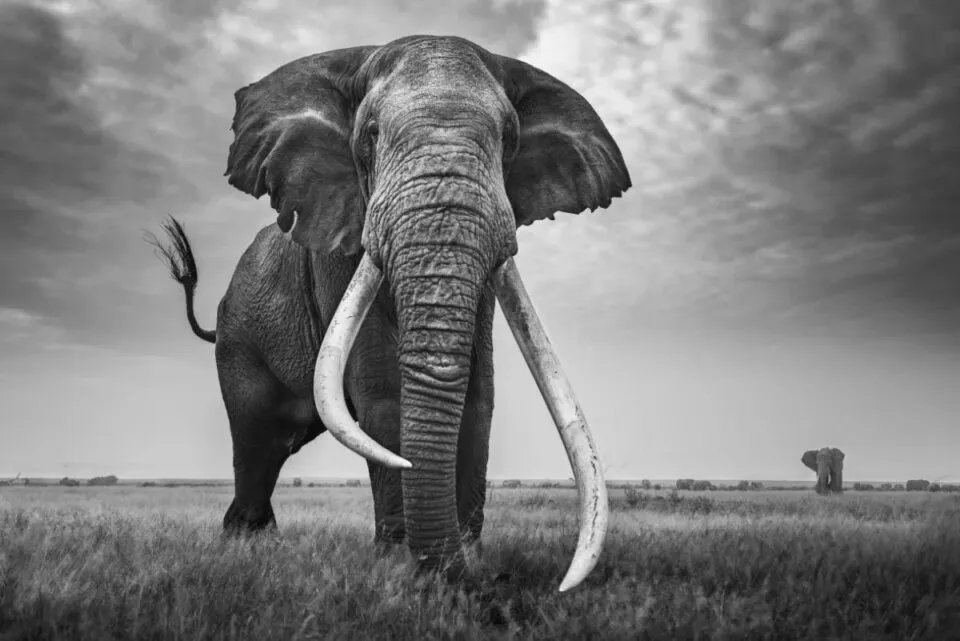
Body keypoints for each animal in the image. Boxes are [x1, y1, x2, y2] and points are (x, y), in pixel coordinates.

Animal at [149, 35, 631, 592]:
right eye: (372, 134)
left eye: (509, 139)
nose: (487, 578)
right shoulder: (339, 243)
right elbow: (382, 392)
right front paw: (400, 564)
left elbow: (478, 393)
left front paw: (468, 560)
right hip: (239, 339)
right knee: (257, 437)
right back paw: (246, 545)